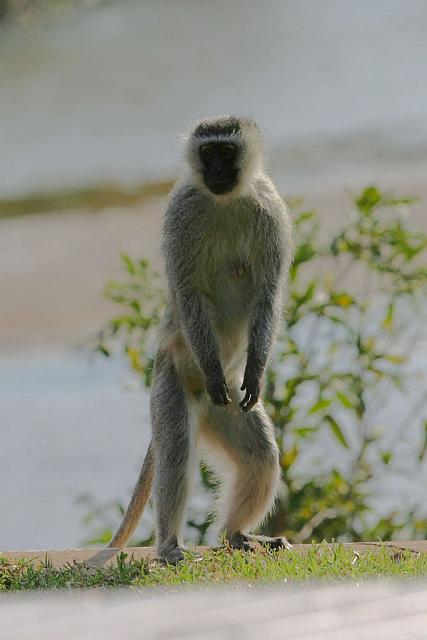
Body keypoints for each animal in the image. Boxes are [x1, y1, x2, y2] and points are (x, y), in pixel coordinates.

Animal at [109, 115, 293, 563]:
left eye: (226, 151)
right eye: (208, 153)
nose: (217, 171)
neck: (225, 201)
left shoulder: (271, 208)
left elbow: (267, 295)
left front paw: (258, 371)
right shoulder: (182, 210)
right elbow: (189, 294)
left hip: (226, 406)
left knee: (260, 456)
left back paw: (236, 534)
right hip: (177, 383)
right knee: (176, 449)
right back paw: (168, 546)